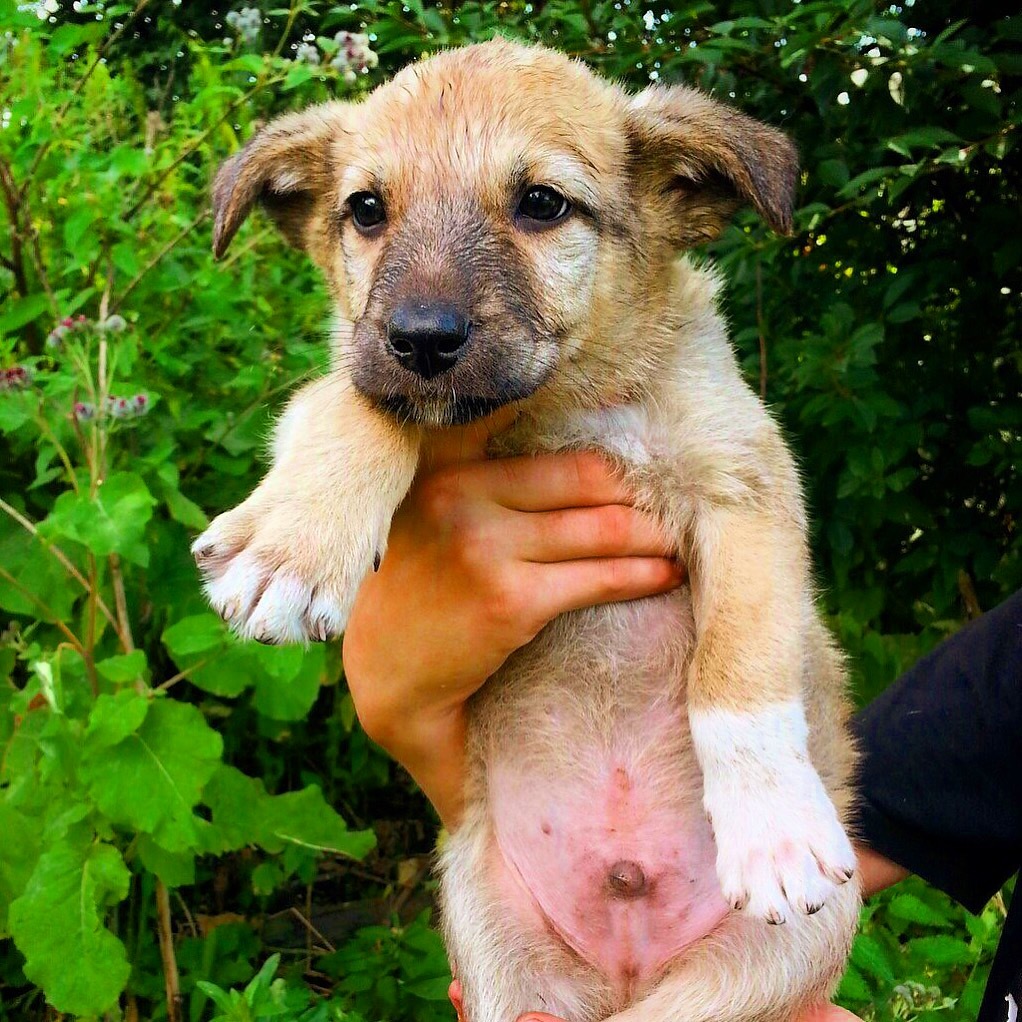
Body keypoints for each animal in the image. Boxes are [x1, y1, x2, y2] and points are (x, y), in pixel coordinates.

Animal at [193, 39, 862, 1021]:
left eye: (542, 203)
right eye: (366, 210)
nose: (421, 340)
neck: (564, 403)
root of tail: (627, 970)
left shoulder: (747, 483)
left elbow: (739, 665)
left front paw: (774, 827)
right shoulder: (369, 378)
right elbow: (348, 405)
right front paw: (289, 544)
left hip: (745, 982)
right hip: (494, 951)